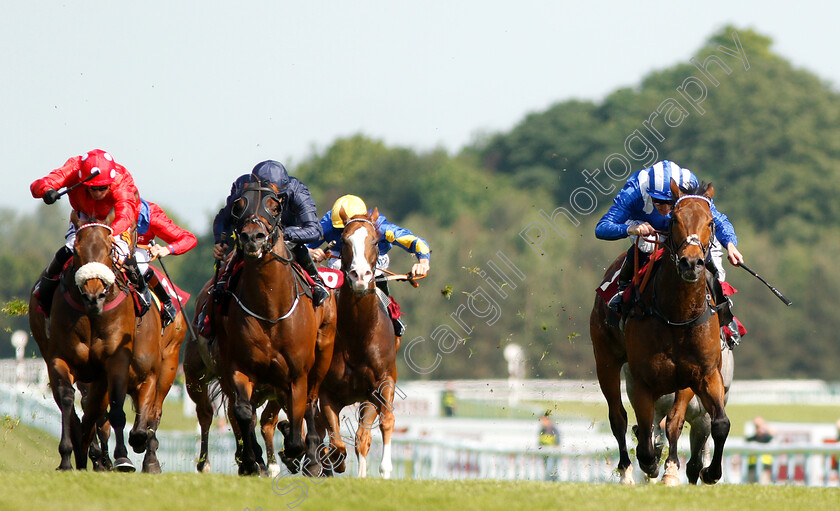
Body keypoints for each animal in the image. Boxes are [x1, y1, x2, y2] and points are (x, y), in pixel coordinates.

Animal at [213, 179, 334, 476]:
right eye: (238, 204)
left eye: (274, 206)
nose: (252, 237)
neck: (270, 309)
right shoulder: (239, 366)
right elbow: (243, 412)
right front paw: (252, 459)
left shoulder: (297, 374)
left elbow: (297, 423)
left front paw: (297, 450)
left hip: (321, 357)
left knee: (310, 402)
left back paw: (311, 457)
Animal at [592, 181, 728, 488]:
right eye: (674, 220)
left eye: (711, 222)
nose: (691, 263)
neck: (676, 314)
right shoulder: (642, 379)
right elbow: (643, 433)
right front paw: (651, 465)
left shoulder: (702, 374)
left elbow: (717, 423)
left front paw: (708, 472)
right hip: (605, 360)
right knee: (618, 417)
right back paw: (627, 471)